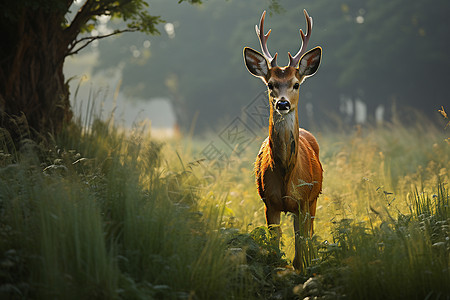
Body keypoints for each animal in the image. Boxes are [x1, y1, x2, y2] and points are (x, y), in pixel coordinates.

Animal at [244, 10, 322, 270]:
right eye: (271, 84)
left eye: (296, 84)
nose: (283, 103)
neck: (288, 173)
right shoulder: (270, 202)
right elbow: (274, 248)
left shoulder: (303, 201)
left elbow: (300, 251)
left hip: (314, 198)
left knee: (310, 236)